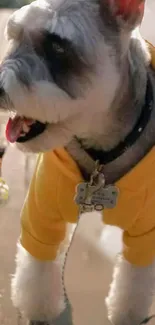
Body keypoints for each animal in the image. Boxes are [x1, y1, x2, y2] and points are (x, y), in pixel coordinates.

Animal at [0, 1, 155, 324]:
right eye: (14, 35)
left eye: (58, 46)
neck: (101, 155)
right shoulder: (41, 215)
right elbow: (37, 267)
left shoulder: (147, 235)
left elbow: (135, 281)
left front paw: (128, 314)